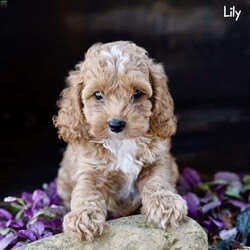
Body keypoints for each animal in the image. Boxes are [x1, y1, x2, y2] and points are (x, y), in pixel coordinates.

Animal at [53, 41, 188, 242]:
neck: (122, 142)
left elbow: (158, 180)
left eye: (137, 93)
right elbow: (86, 191)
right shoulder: (89, 169)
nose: (116, 124)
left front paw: (165, 203)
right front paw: (83, 216)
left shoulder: (158, 160)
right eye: (98, 95)